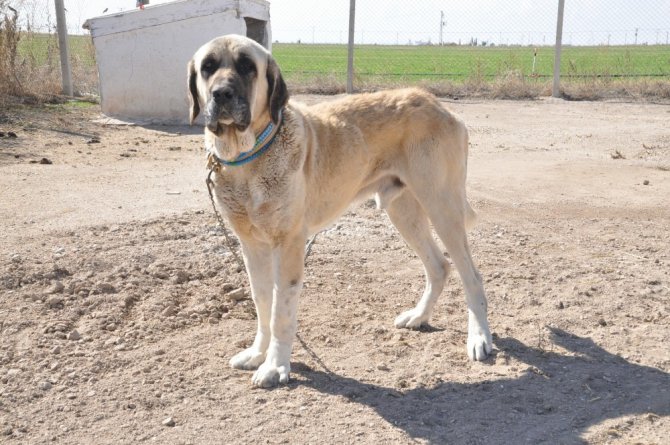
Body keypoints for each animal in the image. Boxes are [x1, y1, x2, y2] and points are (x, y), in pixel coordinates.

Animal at [189, 34, 494, 386]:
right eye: (208, 67)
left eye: (247, 66)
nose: (221, 94)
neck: (249, 157)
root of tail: (438, 104)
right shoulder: (251, 245)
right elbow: (262, 302)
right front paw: (257, 353)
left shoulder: (288, 244)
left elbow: (281, 312)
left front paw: (276, 366)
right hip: (404, 211)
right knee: (439, 266)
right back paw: (419, 316)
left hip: (442, 206)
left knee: (472, 276)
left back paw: (479, 338)